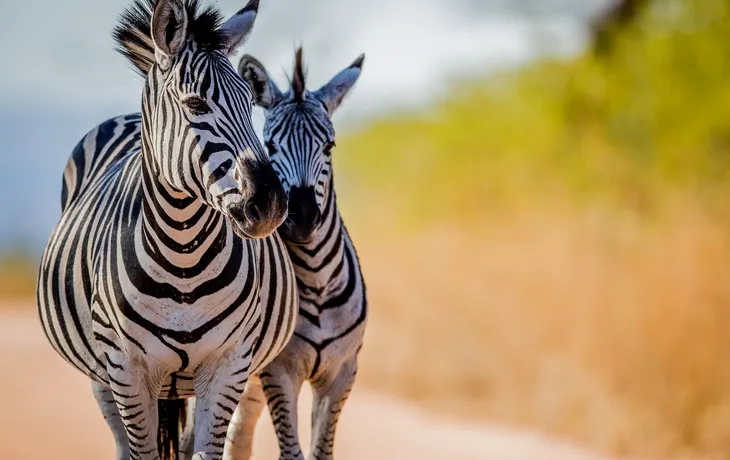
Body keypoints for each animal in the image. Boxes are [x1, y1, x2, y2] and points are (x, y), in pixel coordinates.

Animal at [37, 1, 299, 459]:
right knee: (121, 441)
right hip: (101, 376)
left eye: (250, 103)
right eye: (195, 104)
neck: (184, 258)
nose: (269, 205)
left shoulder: (229, 365)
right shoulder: (126, 368)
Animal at [221, 48, 368, 460]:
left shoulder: (342, 372)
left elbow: (321, 452)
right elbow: (292, 452)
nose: (301, 219)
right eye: (270, 146)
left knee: (236, 438)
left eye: (329, 146)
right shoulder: (279, 372)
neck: (316, 280)